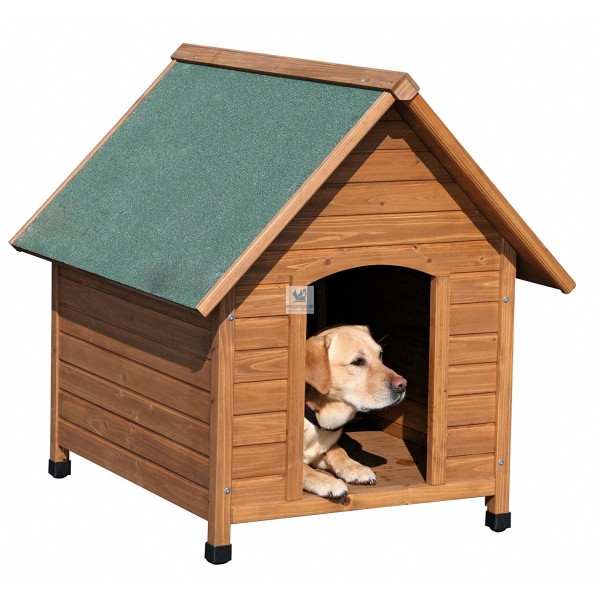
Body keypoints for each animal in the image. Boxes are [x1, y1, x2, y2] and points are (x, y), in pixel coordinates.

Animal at [303, 325, 407, 499]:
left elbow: (338, 451)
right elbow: (302, 469)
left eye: (380, 354)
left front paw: (355, 467)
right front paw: (328, 482)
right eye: (358, 362)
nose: (403, 385)